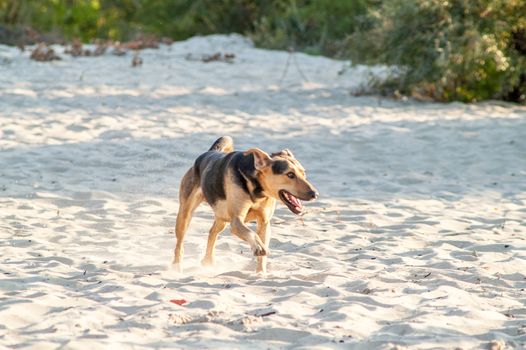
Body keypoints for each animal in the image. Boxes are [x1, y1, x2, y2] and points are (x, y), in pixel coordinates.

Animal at [175, 136, 320, 274]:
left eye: (304, 173)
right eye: (290, 174)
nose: (315, 194)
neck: (258, 190)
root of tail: (209, 152)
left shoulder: (264, 222)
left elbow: (262, 254)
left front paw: (260, 273)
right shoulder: (236, 221)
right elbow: (251, 233)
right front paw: (259, 247)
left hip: (222, 218)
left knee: (212, 232)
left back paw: (208, 261)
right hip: (185, 214)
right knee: (180, 243)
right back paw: (176, 267)